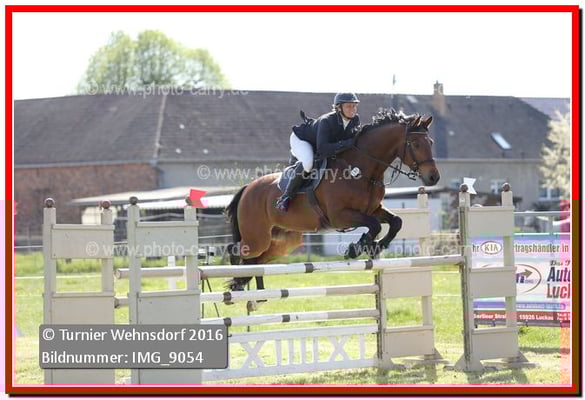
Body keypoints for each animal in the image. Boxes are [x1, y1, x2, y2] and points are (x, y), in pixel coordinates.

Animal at [224, 110, 440, 297]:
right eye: (415, 143)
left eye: (430, 142)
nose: (433, 177)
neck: (361, 170)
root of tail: (247, 188)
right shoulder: (339, 216)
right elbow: (374, 225)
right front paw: (356, 248)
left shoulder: (373, 209)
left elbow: (395, 222)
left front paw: (376, 246)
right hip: (257, 237)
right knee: (235, 249)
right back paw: (237, 284)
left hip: (282, 241)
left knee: (256, 260)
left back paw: (248, 288)